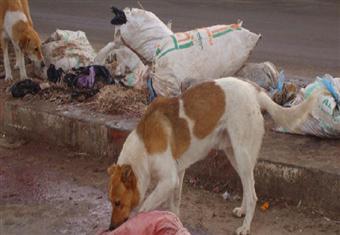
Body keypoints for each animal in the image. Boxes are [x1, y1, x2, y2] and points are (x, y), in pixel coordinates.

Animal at [107, 77, 318, 235]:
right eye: (111, 202)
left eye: (118, 202)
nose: (111, 228)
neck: (143, 146)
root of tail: (253, 90)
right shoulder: (178, 175)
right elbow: (174, 205)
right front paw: (175, 222)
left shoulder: (169, 179)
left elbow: (145, 207)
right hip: (234, 155)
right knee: (248, 184)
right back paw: (242, 211)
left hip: (242, 154)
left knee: (253, 194)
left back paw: (245, 227)